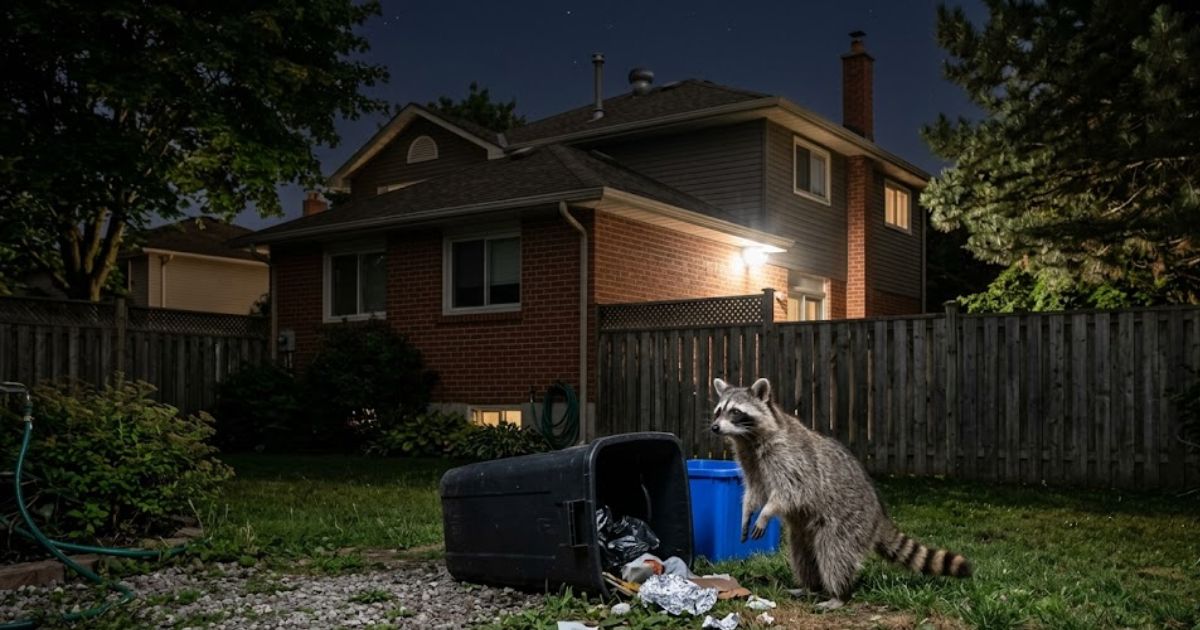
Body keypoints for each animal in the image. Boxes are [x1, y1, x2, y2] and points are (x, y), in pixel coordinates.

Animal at [711, 377, 971, 609]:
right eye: (718, 411)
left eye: (735, 411)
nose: (714, 427)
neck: (747, 438)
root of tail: (878, 513)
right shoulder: (750, 462)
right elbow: (754, 491)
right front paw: (747, 513)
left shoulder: (791, 458)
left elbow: (791, 491)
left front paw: (766, 513)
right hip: (805, 531)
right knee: (803, 554)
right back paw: (810, 586)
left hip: (847, 521)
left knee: (835, 554)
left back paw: (839, 594)